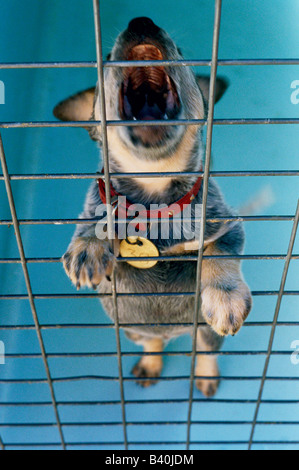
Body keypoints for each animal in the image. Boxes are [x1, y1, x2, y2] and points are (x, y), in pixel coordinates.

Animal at [54, 17, 253, 396]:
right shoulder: (100, 199)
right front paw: (89, 245)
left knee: (205, 349)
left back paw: (205, 375)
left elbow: (219, 251)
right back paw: (151, 362)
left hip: (205, 333)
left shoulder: (228, 225)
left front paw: (225, 297)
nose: (141, 22)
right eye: (105, 58)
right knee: (153, 341)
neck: (154, 199)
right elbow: (100, 209)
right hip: (133, 330)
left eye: (183, 53)